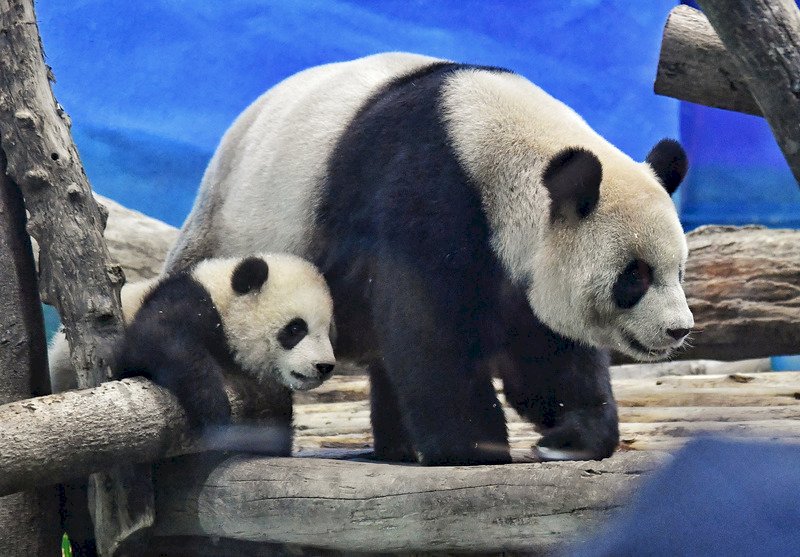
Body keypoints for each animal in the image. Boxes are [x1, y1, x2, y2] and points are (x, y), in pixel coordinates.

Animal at [49, 253, 336, 449]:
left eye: (328, 330)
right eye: (296, 328)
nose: (324, 366)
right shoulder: (185, 300)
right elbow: (161, 343)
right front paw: (213, 408)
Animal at [164, 52, 694, 465]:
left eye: (679, 269)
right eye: (634, 276)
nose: (678, 330)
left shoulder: (519, 264)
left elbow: (547, 350)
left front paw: (570, 439)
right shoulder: (425, 194)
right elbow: (430, 330)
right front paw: (475, 447)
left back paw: (396, 448)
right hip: (233, 234)